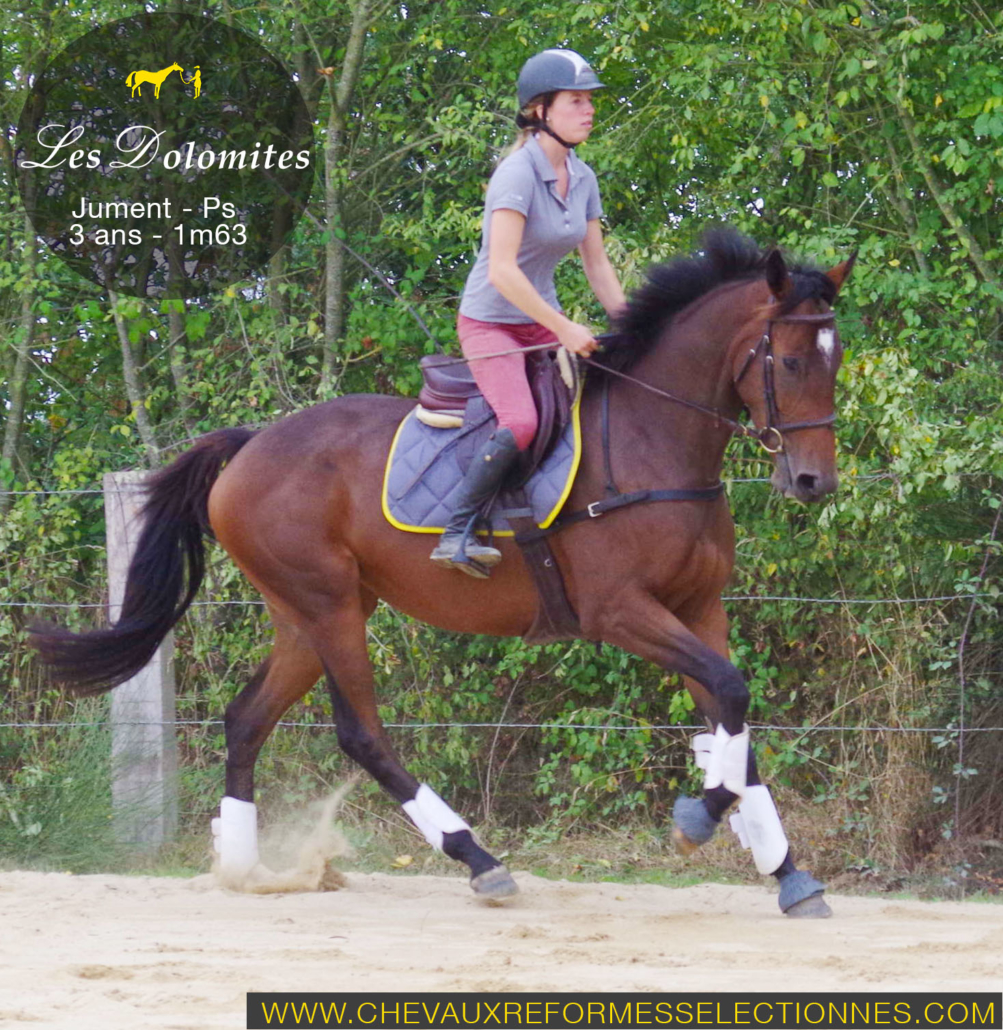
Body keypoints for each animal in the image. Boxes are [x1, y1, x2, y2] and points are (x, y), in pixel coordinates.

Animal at [31, 231, 856, 918]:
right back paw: (477, 859)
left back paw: (242, 869)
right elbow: (729, 697)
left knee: (246, 719)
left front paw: (788, 875)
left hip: (304, 614)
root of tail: (252, 443)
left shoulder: (697, 609)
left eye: (835, 360)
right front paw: (697, 820)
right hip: (328, 606)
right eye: (788, 361)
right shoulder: (621, 611)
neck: (655, 441)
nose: (812, 482)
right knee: (361, 734)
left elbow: (734, 716)